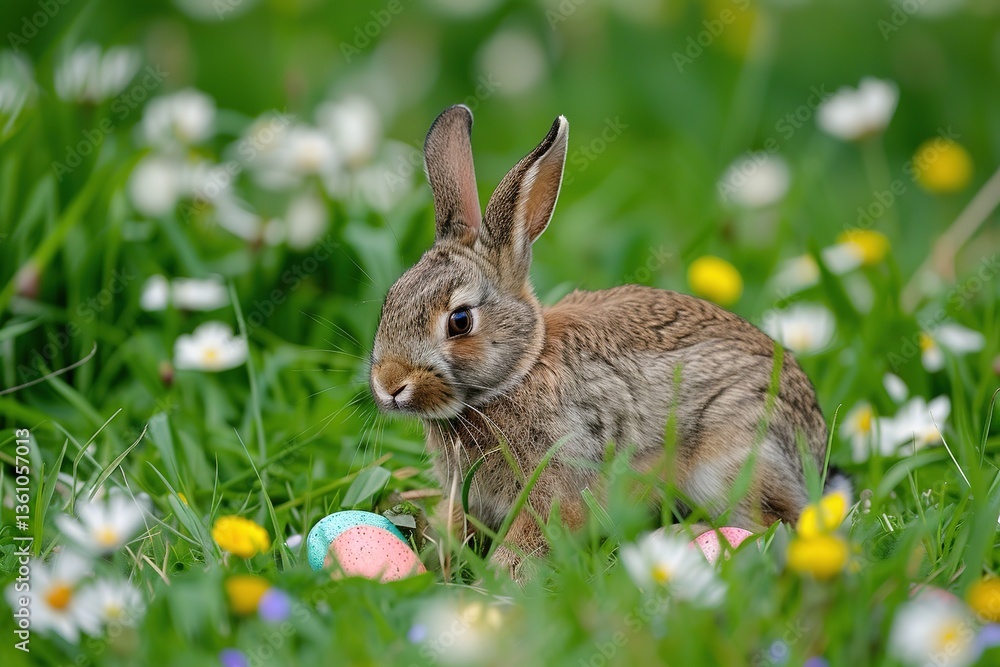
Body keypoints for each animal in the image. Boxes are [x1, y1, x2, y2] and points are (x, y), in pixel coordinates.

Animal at [369, 105, 849, 579]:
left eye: (460, 321)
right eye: (390, 300)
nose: (390, 385)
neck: (516, 375)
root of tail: (813, 451)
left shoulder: (555, 483)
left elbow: (528, 540)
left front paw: (497, 581)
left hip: (733, 459)